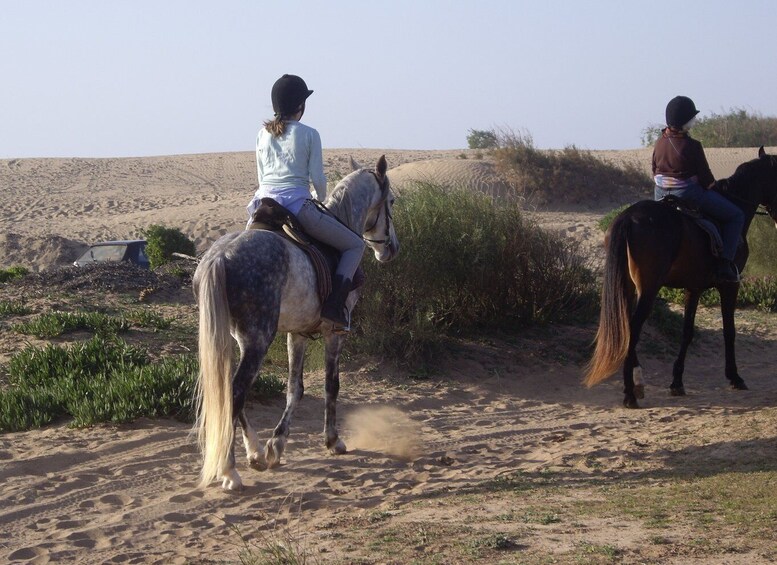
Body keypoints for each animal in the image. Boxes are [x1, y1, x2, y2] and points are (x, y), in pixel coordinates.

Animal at [194, 155, 400, 490]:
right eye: (391, 201)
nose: (391, 248)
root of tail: (220, 256)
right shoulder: (334, 332)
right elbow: (332, 385)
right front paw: (333, 440)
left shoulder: (297, 334)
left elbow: (295, 388)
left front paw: (276, 446)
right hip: (257, 341)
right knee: (236, 392)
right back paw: (230, 471)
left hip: (235, 339)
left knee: (231, 392)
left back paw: (254, 453)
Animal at [584, 147, 776, 406]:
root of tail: (628, 217)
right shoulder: (730, 286)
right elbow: (729, 330)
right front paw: (735, 377)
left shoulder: (692, 288)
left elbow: (687, 332)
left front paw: (677, 381)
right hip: (648, 288)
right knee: (633, 328)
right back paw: (630, 393)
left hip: (628, 287)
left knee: (628, 327)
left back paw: (638, 384)